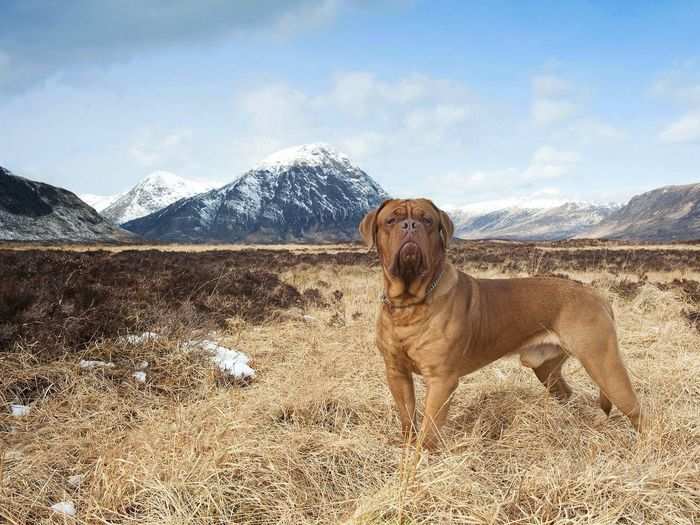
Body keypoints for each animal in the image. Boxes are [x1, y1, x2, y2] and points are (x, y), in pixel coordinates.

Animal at [360, 199, 644, 448]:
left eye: (427, 220)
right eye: (391, 220)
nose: (409, 225)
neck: (410, 304)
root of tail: (596, 294)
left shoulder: (441, 380)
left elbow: (429, 430)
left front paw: (423, 458)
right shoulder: (396, 373)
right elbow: (408, 418)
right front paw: (407, 448)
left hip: (603, 364)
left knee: (637, 411)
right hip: (547, 368)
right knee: (567, 394)